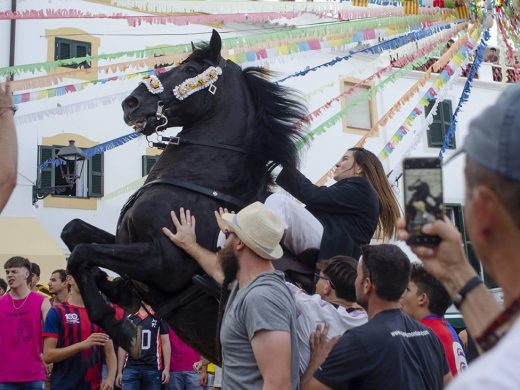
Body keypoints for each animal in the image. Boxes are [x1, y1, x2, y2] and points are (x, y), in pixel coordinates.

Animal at [63, 31, 310, 366]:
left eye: (192, 69)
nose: (132, 103)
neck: (199, 185)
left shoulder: (163, 262)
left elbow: (81, 252)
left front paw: (121, 329)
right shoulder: (126, 241)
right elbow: (73, 231)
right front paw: (116, 289)